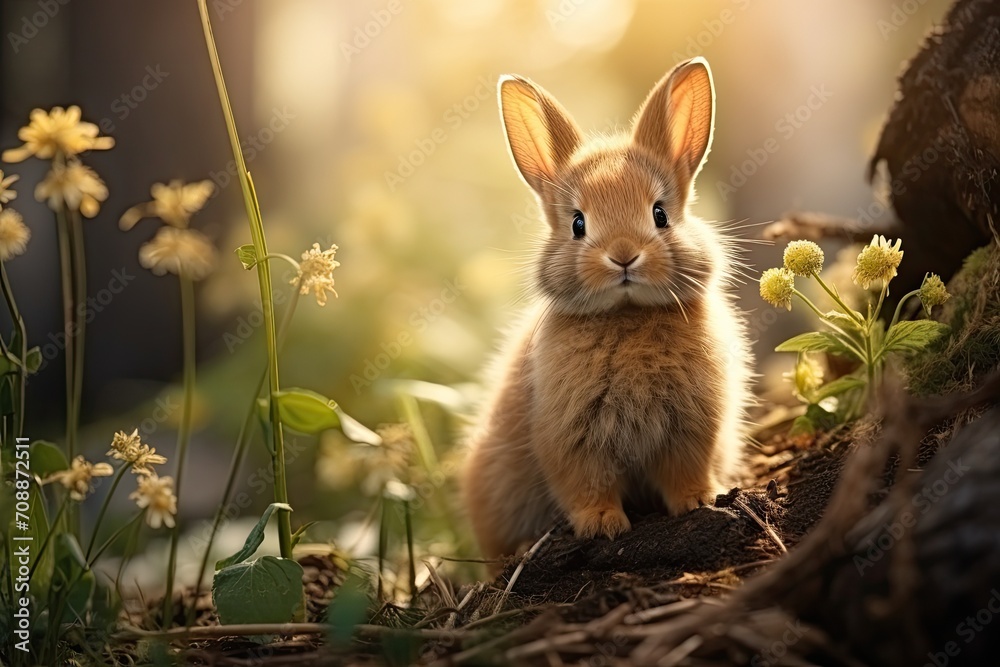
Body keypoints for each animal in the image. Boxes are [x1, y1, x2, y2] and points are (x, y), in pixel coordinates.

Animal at [462, 58, 754, 563]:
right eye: (578, 223)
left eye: (660, 214)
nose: (622, 256)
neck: (627, 314)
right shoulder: (572, 436)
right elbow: (585, 483)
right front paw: (602, 526)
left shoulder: (693, 425)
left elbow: (684, 470)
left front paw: (699, 500)